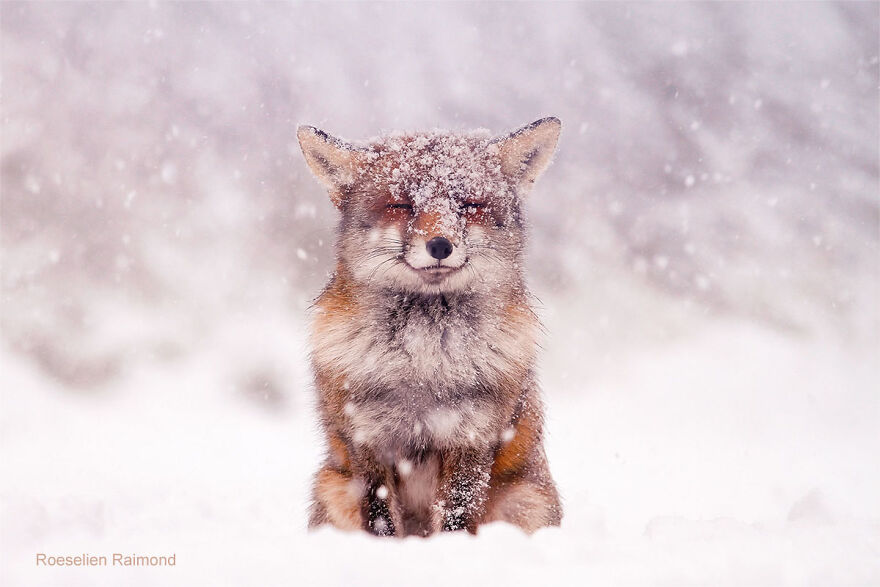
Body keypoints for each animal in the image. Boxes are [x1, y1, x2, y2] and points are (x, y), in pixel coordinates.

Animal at [296, 117, 563, 537]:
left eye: (469, 205)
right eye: (402, 205)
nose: (440, 245)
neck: (423, 362)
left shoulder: (472, 436)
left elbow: (457, 516)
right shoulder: (367, 439)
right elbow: (381, 518)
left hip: (525, 501)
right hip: (332, 487)